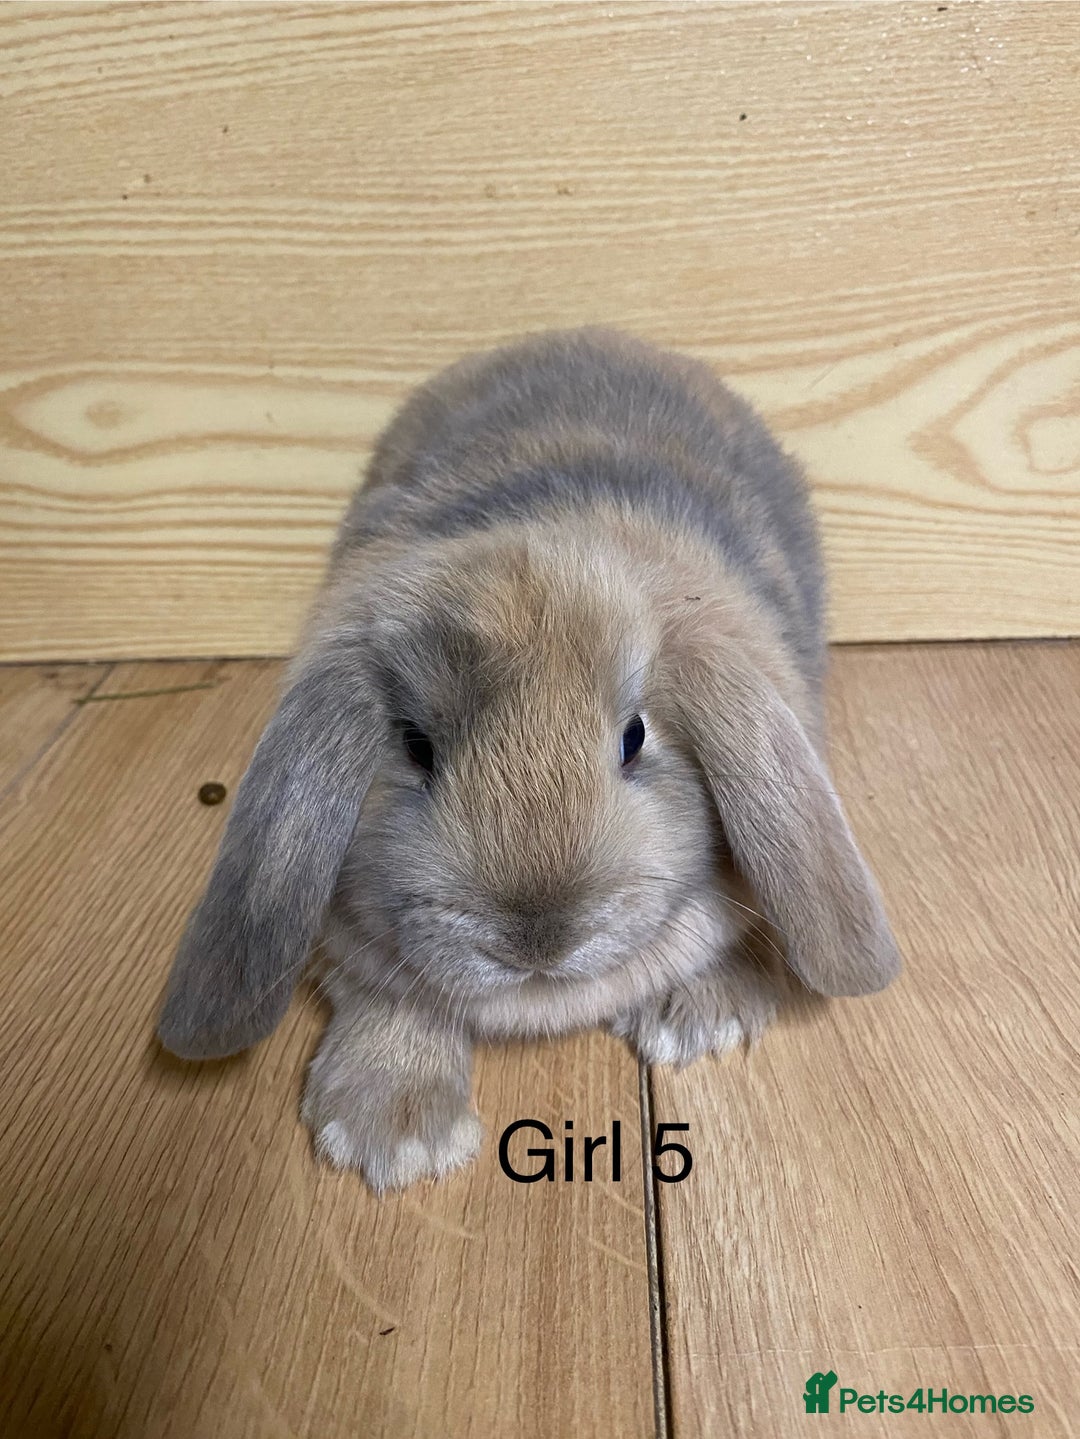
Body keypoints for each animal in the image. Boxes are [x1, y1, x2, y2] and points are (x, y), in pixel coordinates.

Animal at [156, 327, 901, 1192]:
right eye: (416, 746)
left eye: (634, 736)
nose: (537, 938)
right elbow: (388, 997)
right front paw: (391, 1131)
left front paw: (698, 1019)